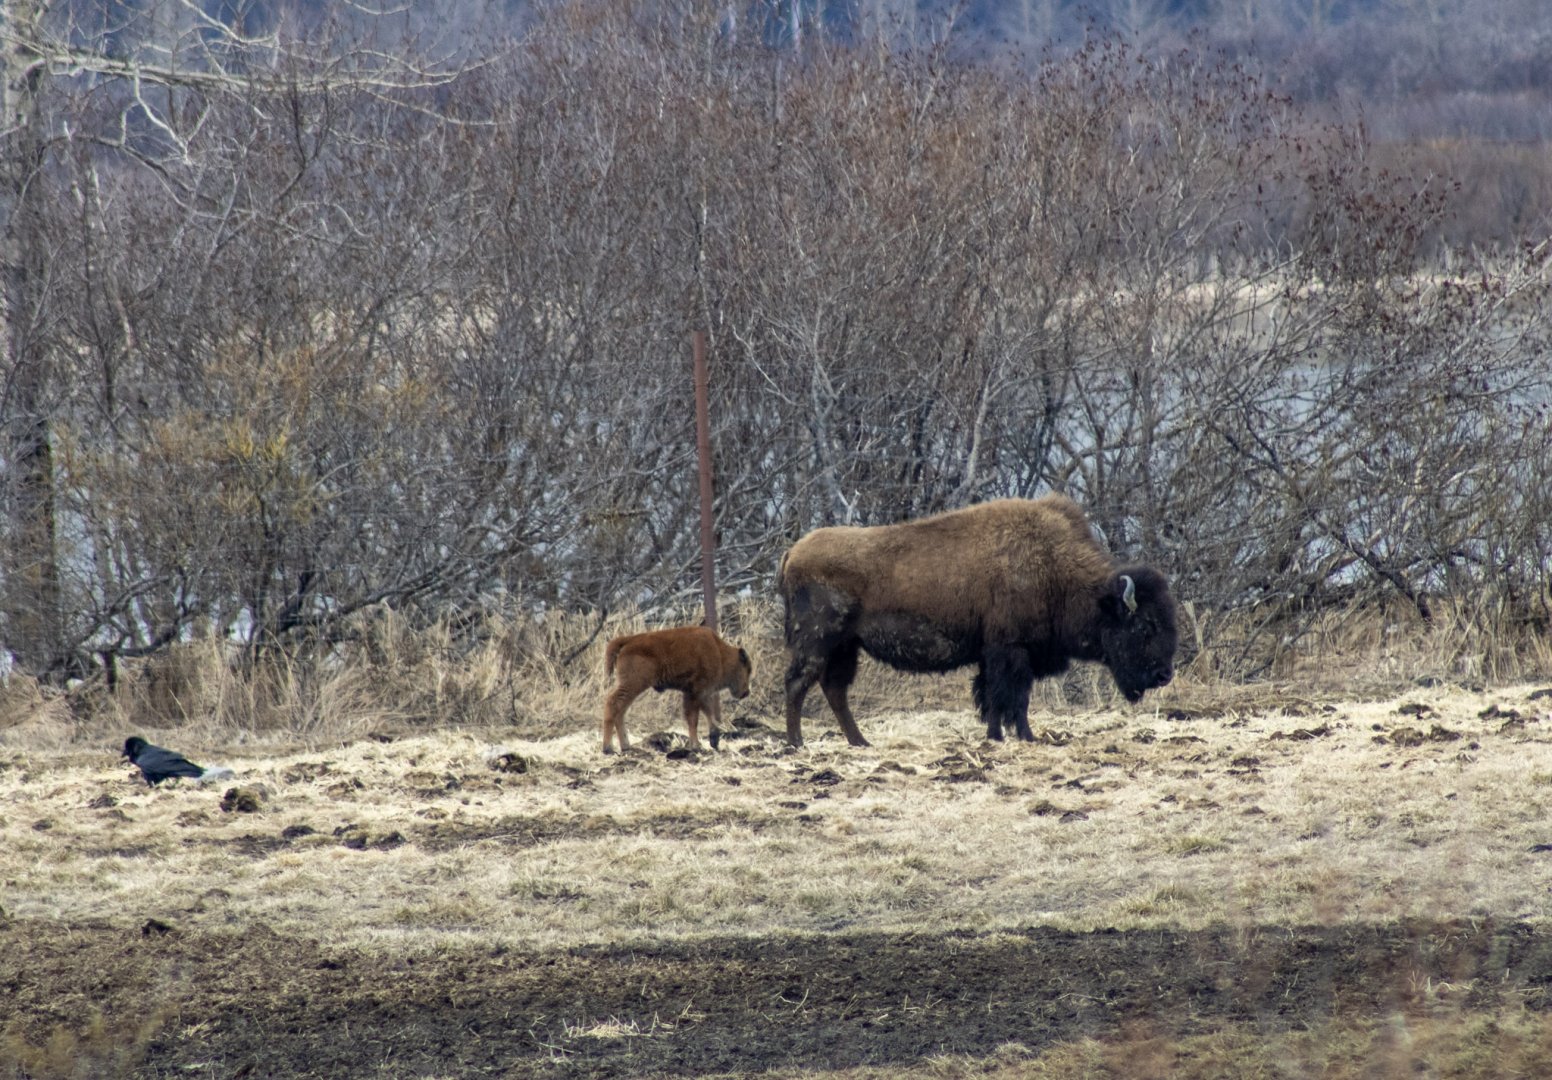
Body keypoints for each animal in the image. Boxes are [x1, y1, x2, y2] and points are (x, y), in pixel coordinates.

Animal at [601, 625, 753, 754]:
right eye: (747, 669)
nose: (746, 692)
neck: (720, 652)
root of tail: (628, 640)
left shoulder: (695, 693)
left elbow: (704, 714)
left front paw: (711, 740)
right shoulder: (697, 691)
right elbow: (695, 718)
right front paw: (697, 745)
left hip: (631, 687)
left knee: (620, 710)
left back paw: (625, 746)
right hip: (633, 684)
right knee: (613, 704)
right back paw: (608, 748)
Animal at [778, 495, 1178, 747]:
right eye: (1145, 627)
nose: (1164, 675)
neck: (1055, 569)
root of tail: (793, 552)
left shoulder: (994, 654)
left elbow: (992, 697)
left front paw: (997, 735)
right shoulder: (1012, 650)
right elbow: (1012, 697)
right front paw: (1023, 736)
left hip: (845, 647)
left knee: (834, 690)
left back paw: (861, 742)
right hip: (818, 641)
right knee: (798, 683)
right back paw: (797, 744)